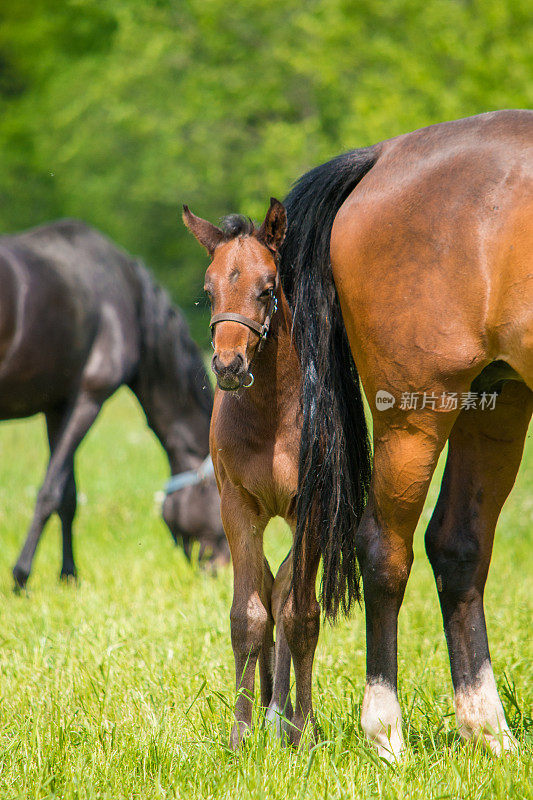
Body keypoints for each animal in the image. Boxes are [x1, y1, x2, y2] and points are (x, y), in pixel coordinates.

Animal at [0, 219, 227, 588]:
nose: (220, 571)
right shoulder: (89, 398)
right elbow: (50, 491)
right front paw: (21, 576)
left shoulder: (57, 407)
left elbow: (68, 496)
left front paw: (68, 575)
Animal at [184, 111, 532, 756]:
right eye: (208, 290)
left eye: (268, 288)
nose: (228, 366)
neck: (264, 423)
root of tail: (380, 157)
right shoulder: (236, 504)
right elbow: (249, 613)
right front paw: (244, 736)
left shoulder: (306, 507)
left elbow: (296, 612)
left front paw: (296, 730)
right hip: (440, 400)